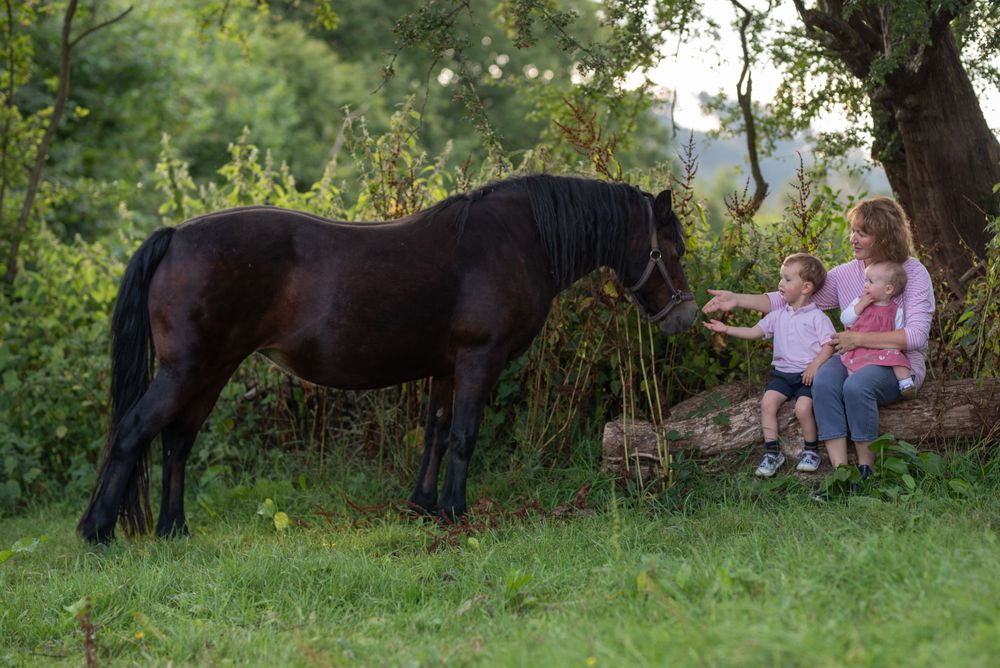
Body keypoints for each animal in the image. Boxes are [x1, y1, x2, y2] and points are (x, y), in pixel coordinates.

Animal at [78, 174, 698, 543]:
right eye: (671, 249)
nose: (687, 316)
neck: (516, 239)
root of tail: (176, 235)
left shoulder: (447, 367)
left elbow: (437, 433)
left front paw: (423, 506)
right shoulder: (479, 359)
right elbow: (464, 437)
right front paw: (455, 512)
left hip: (212, 370)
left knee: (177, 441)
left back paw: (173, 528)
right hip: (187, 370)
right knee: (133, 431)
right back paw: (98, 530)